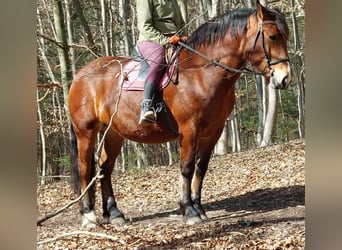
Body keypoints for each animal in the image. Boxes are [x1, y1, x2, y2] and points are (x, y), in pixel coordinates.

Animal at [69, 0, 292, 227]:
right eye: (272, 36)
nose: (285, 78)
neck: (201, 73)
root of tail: (80, 75)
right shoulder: (189, 129)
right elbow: (187, 167)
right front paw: (189, 211)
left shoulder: (214, 130)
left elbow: (201, 168)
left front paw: (199, 208)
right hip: (85, 132)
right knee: (85, 169)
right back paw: (89, 215)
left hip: (113, 133)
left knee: (105, 169)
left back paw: (114, 214)